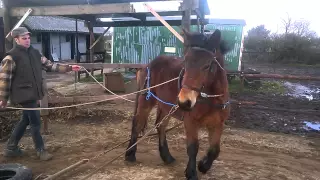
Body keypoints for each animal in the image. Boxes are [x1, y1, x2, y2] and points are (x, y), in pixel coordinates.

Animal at [124, 28, 231, 179]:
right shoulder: (190, 121)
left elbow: (215, 150)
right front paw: (191, 172)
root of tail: (148, 65)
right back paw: (130, 154)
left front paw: (203, 166)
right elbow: (193, 147)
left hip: (165, 106)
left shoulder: (218, 124)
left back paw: (167, 157)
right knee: (137, 123)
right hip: (146, 101)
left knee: (161, 126)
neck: (210, 98)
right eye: (185, 62)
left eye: (207, 65)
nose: (184, 101)